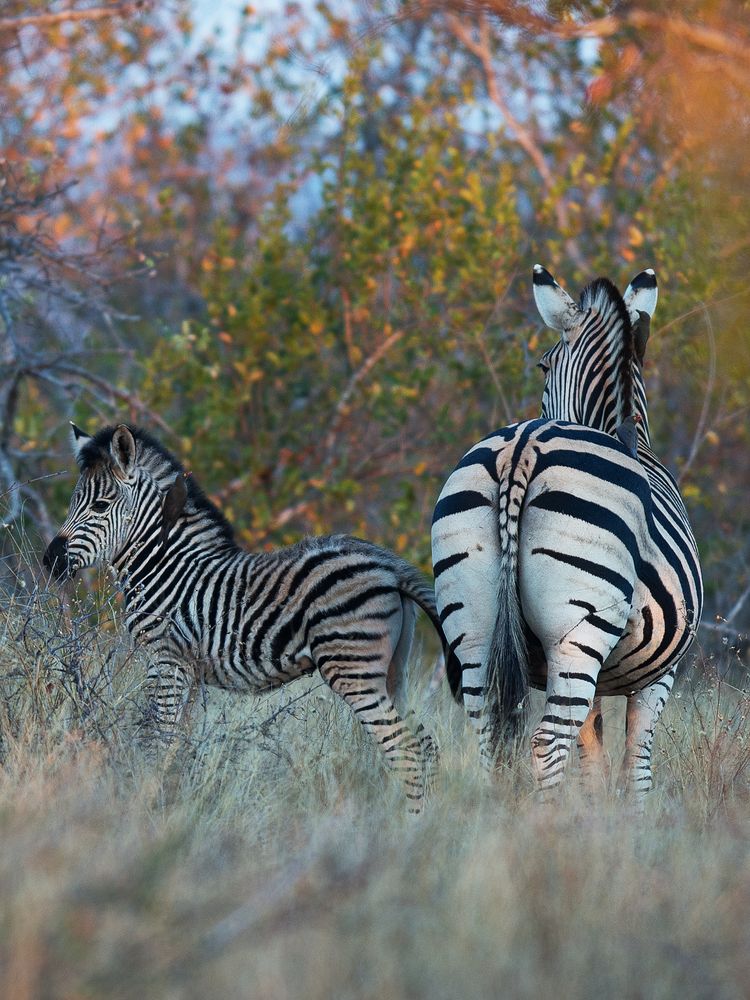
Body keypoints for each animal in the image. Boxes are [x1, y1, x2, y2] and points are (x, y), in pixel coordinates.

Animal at [44, 424, 444, 812]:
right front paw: (174, 800)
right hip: (392, 671)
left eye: (100, 506)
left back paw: (409, 823)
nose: (51, 561)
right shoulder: (190, 670)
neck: (165, 565)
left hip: (352, 668)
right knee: (425, 744)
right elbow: (179, 741)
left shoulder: (166, 658)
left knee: (405, 748)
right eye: (73, 502)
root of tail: (389, 566)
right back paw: (435, 818)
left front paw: (144, 800)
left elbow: (157, 738)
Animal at [434, 266, 704, 804]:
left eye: (541, 366)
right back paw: (545, 825)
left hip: (472, 622)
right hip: (578, 631)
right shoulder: (661, 675)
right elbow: (636, 764)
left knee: (491, 734)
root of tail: (521, 447)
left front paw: (592, 820)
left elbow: (593, 760)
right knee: (546, 742)